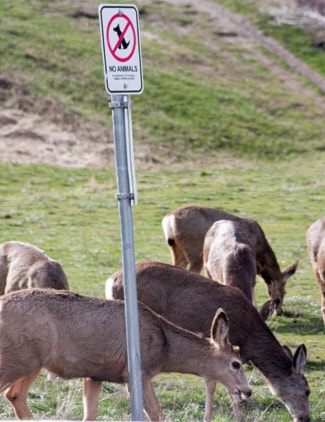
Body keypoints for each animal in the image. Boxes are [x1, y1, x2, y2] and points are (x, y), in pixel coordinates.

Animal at [0, 288, 251, 420]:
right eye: (236, 364)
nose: (247, 391)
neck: (166, 347)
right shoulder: (137, 372)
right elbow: (156, 413)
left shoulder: (95, 374)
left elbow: (90, 414)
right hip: (19, 360)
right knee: (12, 393)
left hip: (31, 363)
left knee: (15, 395)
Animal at [105, 260, 308, 422]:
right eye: (307, 390)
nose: (305, 418)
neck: (248, 339)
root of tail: (110, 282)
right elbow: (216, 385)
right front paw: (220, 417)